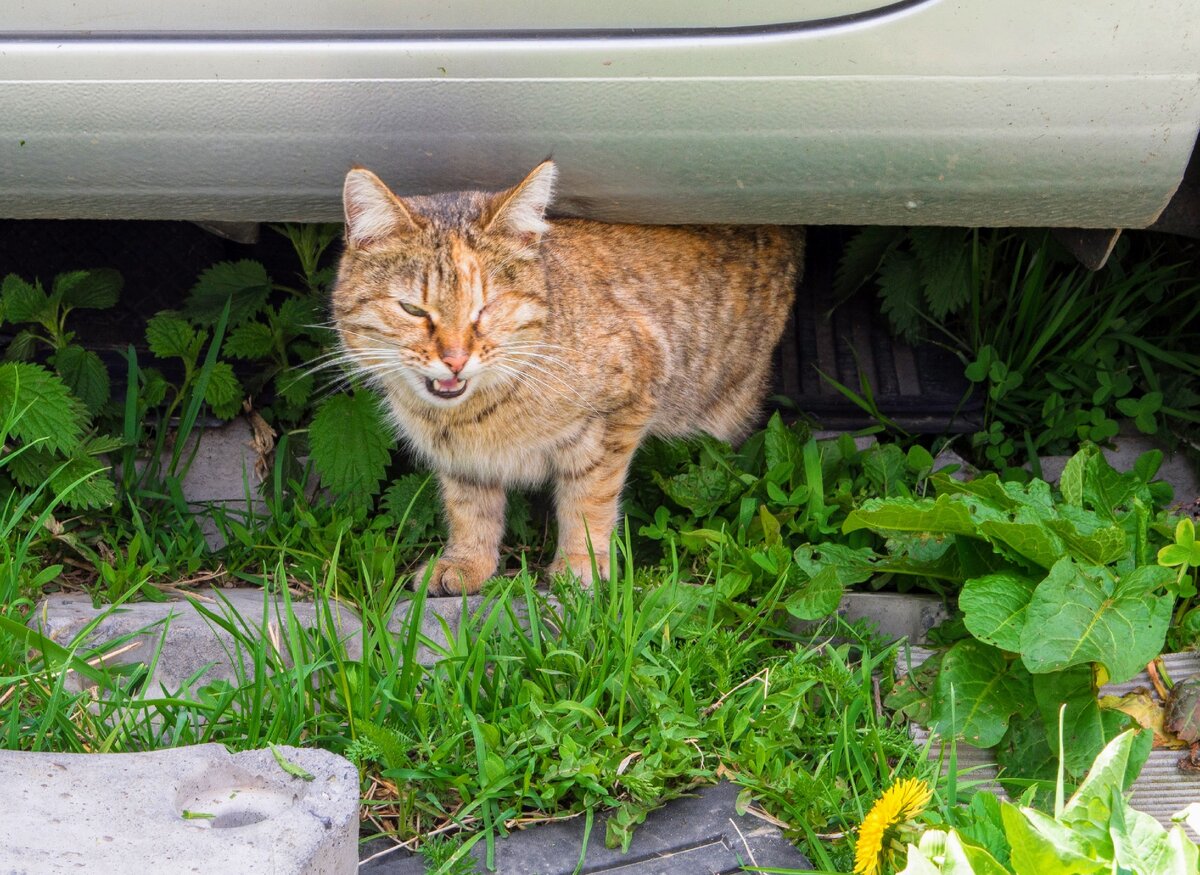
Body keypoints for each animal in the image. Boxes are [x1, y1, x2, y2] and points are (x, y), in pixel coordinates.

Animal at [328, 159, 801, 590]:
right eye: (412, 309)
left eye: (488, 307)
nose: (456, 359)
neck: (473, 414)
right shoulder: (463, 462)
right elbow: (469, 508)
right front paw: (467, 562)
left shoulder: (623, 408)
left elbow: (589, 497)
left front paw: (579, 563)